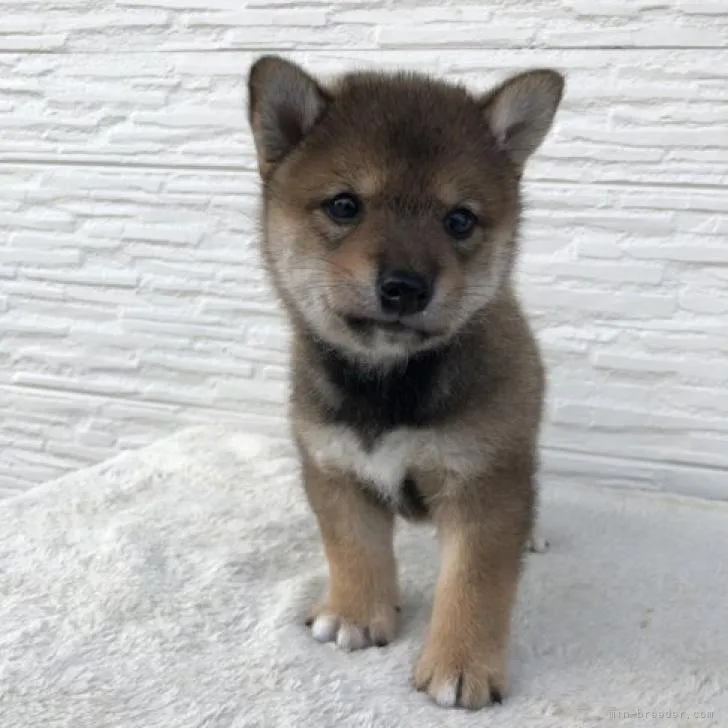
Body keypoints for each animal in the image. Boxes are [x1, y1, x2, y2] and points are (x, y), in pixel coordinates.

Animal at [249, 58, 564, 712]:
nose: (405, 287)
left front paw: (461, 663)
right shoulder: (335, 470)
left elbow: (474, 584)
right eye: (345, 205)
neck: (388, 384)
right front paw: (354, 613)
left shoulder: (484, 481)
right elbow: (353, 550)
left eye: (459, 219)